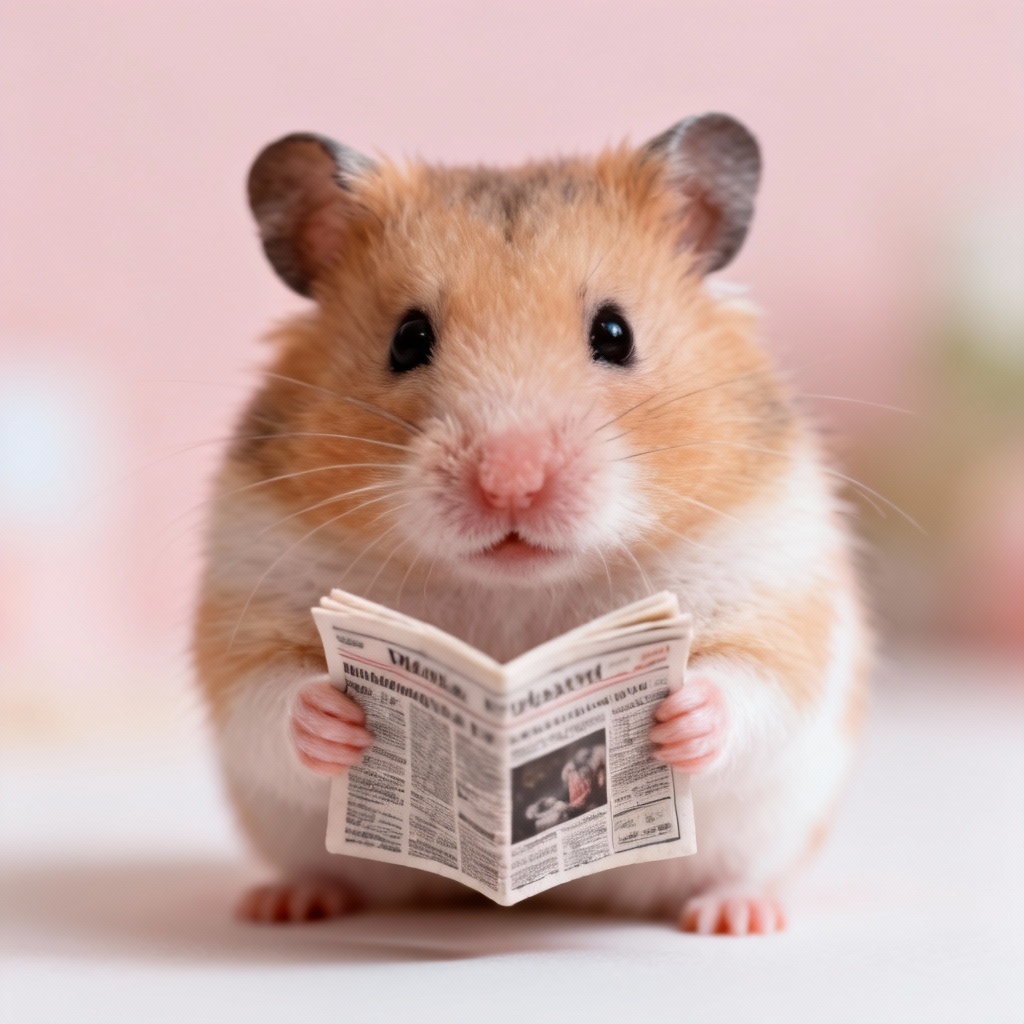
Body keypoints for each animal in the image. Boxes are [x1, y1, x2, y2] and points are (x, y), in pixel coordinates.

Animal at [194, 114, 870, 935]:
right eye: (407, 339)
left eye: (614, 332)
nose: (510, 483)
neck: (514, 588)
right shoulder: (246, 602)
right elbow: (269, 696)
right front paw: (337, 719)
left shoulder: (774, 594)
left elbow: (749, 683)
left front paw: (676, 717)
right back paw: (287, 903)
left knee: (747, 865)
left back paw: (734, 915)